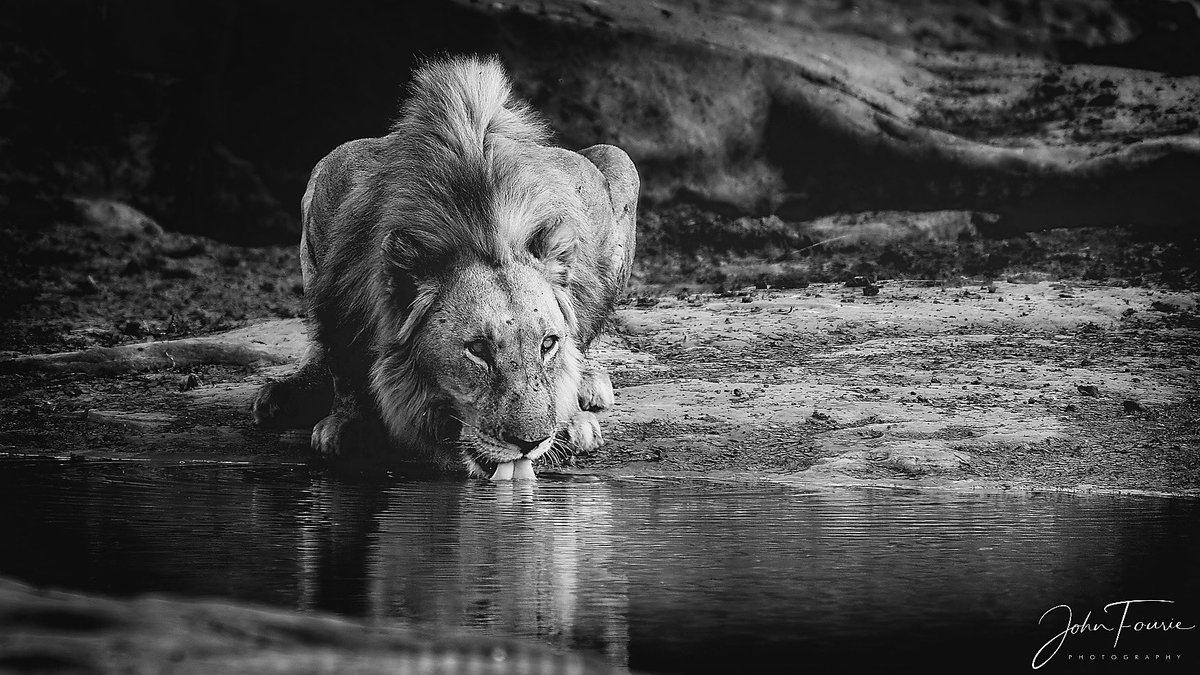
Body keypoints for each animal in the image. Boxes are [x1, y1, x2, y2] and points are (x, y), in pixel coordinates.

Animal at [251, 56, 638, 480]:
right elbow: (341, 358)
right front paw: (346, 425)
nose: (530, 442)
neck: (482, 224)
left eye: (548, 344)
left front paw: (572, 420)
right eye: (477, 350)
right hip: (325, 171)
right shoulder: (335, 252)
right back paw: (284, 395)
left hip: (618, 159)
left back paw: (590, 384)